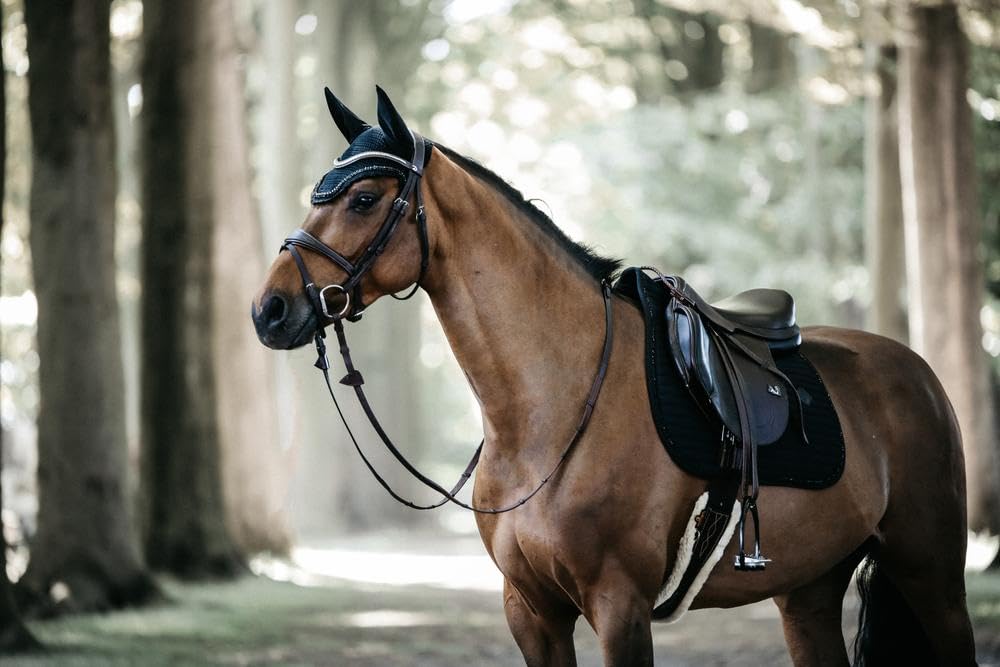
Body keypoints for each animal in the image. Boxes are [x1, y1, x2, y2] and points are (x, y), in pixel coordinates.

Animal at [252, 87, 977, 666]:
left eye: (364, 198)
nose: (270, 310)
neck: (553, 408)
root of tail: (915, 372)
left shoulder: (618, 605)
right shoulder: (532, 611)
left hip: (933, 577)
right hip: (809, 592)